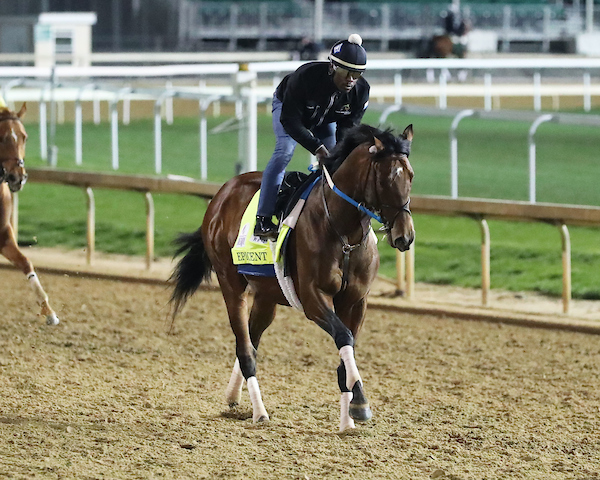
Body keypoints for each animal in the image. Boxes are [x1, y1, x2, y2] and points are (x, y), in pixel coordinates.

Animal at [0, 102, 59, 324]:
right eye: (1, 137)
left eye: (24, 137)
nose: (18, 177)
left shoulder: (3, 233)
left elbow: (26, 262)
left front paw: (48, 311)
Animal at [169, 123, 412, 432]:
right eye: (387, 178)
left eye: (411, 176)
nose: (405, 236)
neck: (343, 233)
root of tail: (222, 193)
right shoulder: (312, 297)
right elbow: (343, 336)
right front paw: (357, 406)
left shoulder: (356, 300)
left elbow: (348, 346)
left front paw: (351, 411)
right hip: (231, 283)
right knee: (245, 350)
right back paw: (259, 412)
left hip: (267, 296)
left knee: (251, 341)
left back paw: (233, 396)